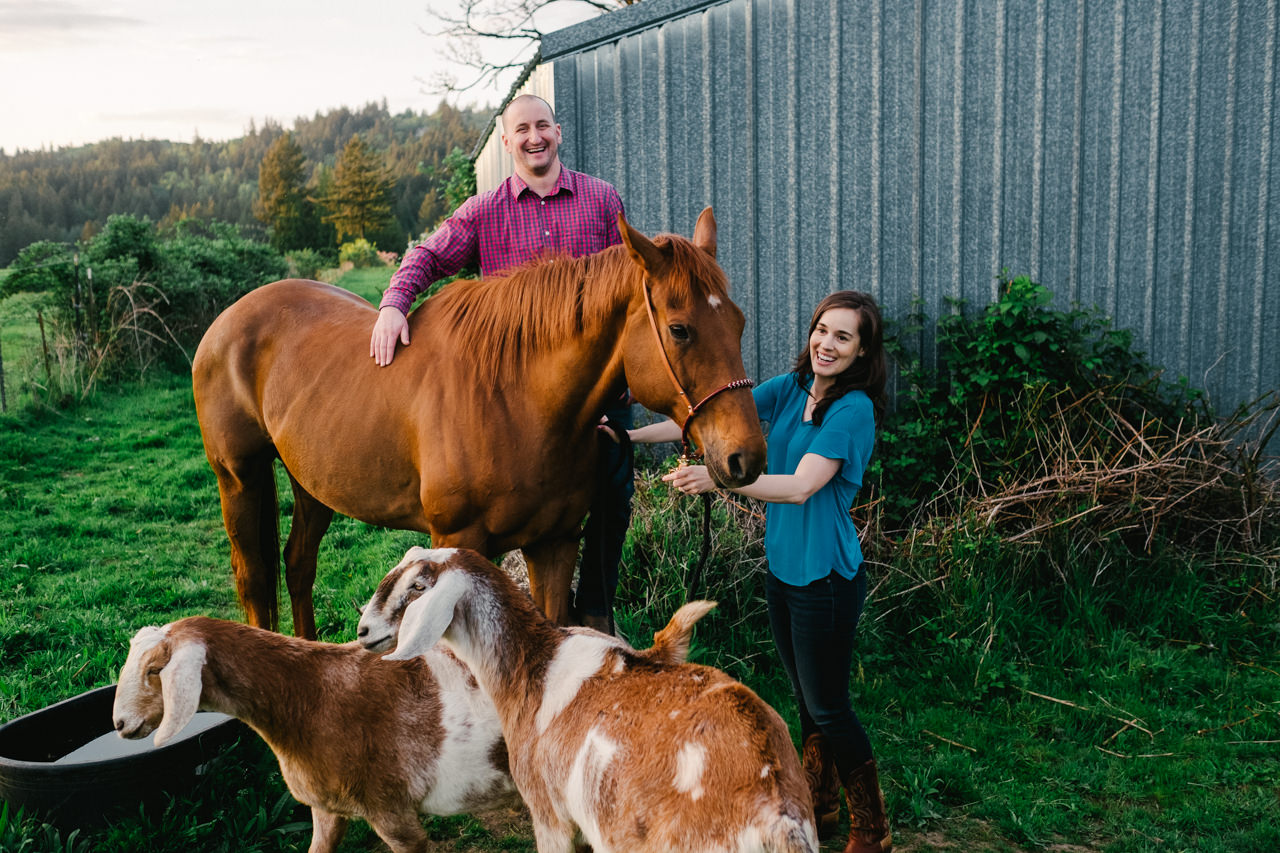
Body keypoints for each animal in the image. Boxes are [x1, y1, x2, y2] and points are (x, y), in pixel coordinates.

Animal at [194, 208, 762, 637]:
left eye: (739, 322)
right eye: (680, 329)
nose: (747, 456)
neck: (514, 402)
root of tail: (226, 322)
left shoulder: (555, 545)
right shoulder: (455, 543)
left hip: (313, 483)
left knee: (298, 565)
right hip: (238, 478)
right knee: (255, 579)